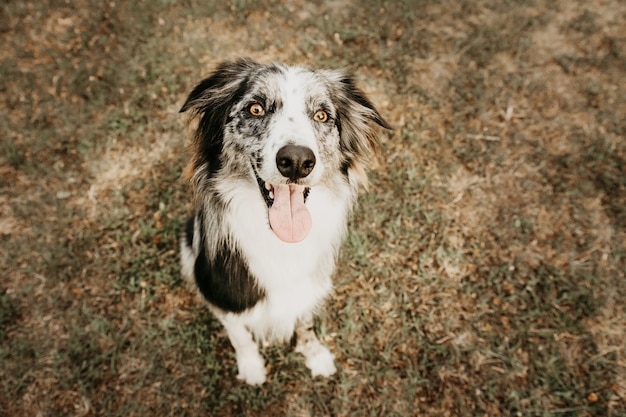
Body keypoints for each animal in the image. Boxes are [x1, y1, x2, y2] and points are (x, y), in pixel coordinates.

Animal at [178, 58, 388, 384]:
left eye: (321, 115)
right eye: (256, 109)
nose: (297, 161)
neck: (280, 241)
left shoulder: (307, 285)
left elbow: (305, 323)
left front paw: (314, 354)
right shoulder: (221, 290)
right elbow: (240, 334)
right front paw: (251, 366)